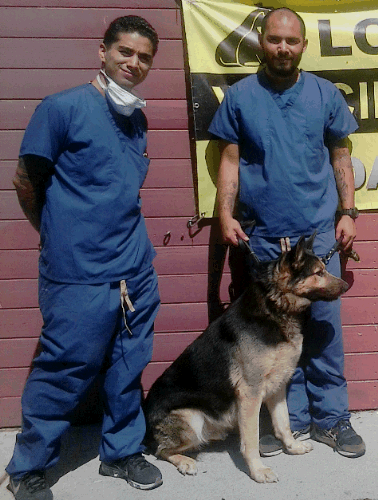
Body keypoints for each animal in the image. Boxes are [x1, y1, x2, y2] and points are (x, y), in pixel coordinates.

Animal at [144, 236, 348, 482]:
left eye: (324, 269)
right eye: (318, 272)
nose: (347, 286)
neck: (276, 307)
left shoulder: (278, 386)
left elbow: (284, 422)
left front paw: (292, 447)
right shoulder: (250, 394)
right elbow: (250, 440)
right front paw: (258, 471)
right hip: (192, 419)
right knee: (161, 450)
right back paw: (185, 462)